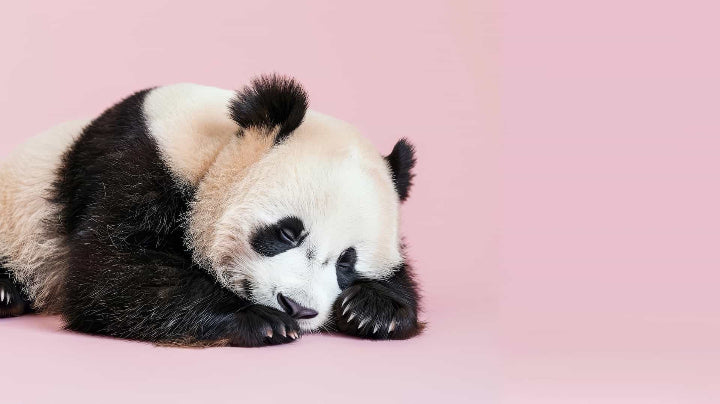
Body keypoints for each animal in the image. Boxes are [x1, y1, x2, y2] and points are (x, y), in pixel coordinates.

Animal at [0, 75, 422, 346]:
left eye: (347, 263)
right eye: (287, 232)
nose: (298, 307)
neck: (217, 150)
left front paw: (374, 310)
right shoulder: (137, 164)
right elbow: (110, 270)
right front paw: (261, 320)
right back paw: (6, 293)